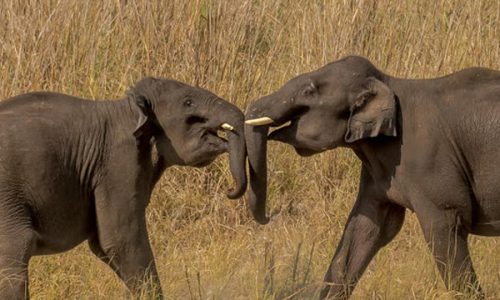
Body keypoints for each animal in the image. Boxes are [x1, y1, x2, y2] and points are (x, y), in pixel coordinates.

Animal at [0, 78, 247, 300]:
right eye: (188, 102)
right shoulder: (118, 162)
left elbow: (103, 245)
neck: (128, 108)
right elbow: (119, 240)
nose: (229, 190)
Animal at [245, 55, 500, 298]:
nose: (270, 216)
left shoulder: (431, 166)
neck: (388, 82)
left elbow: (444, 228)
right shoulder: (377, 173)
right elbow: (364, 230)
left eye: (309, 92)